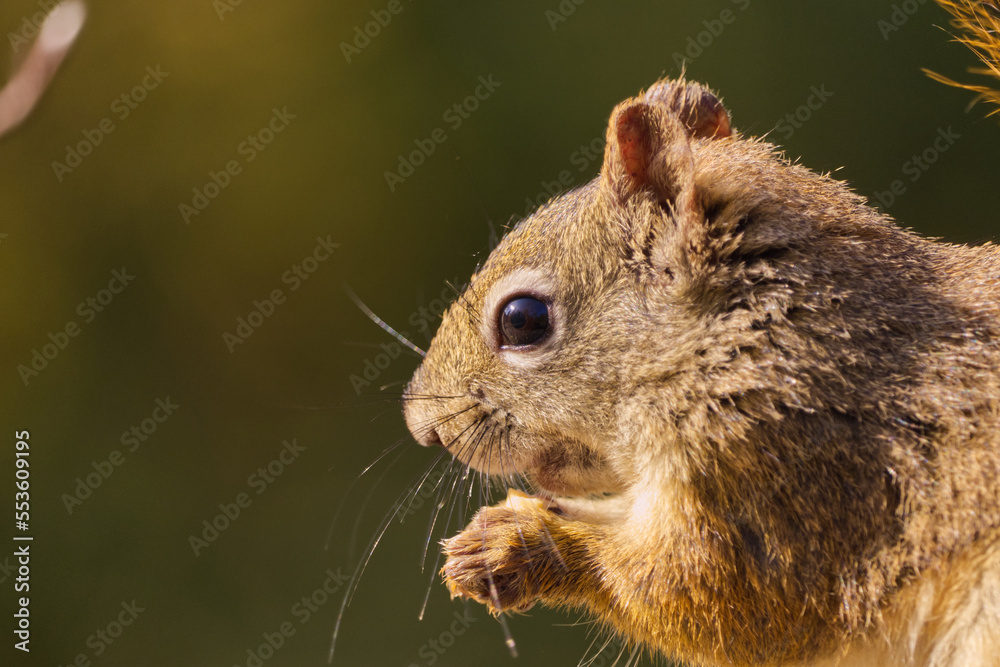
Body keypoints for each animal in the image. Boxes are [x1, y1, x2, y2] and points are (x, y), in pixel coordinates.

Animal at [401, 1, 1000, 665]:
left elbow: (718, 600)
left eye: (523, 320)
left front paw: (520, 544)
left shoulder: (792, 471)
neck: (757, 332)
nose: (422, 425)